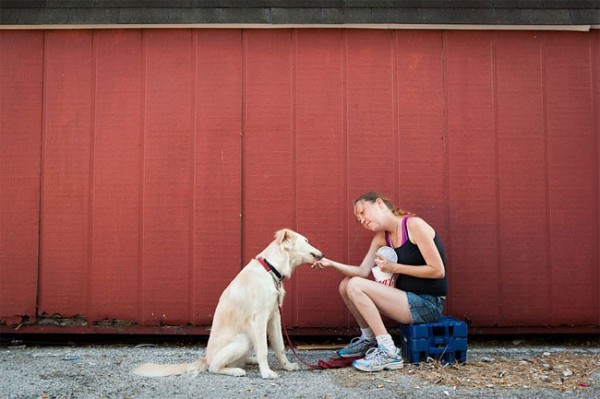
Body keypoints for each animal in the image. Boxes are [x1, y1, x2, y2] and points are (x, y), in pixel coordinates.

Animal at [132, 230, 324, 380]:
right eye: (307, 241)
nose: (322, 254)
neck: (270, 269)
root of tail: (205, 358)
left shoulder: (274, 316)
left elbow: (280, 346)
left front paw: (287, 366)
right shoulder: (260, 318)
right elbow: (264, 349)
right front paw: (266, 373)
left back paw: (250, 361)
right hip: (242, 339)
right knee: (214, 367)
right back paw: (236, 370)